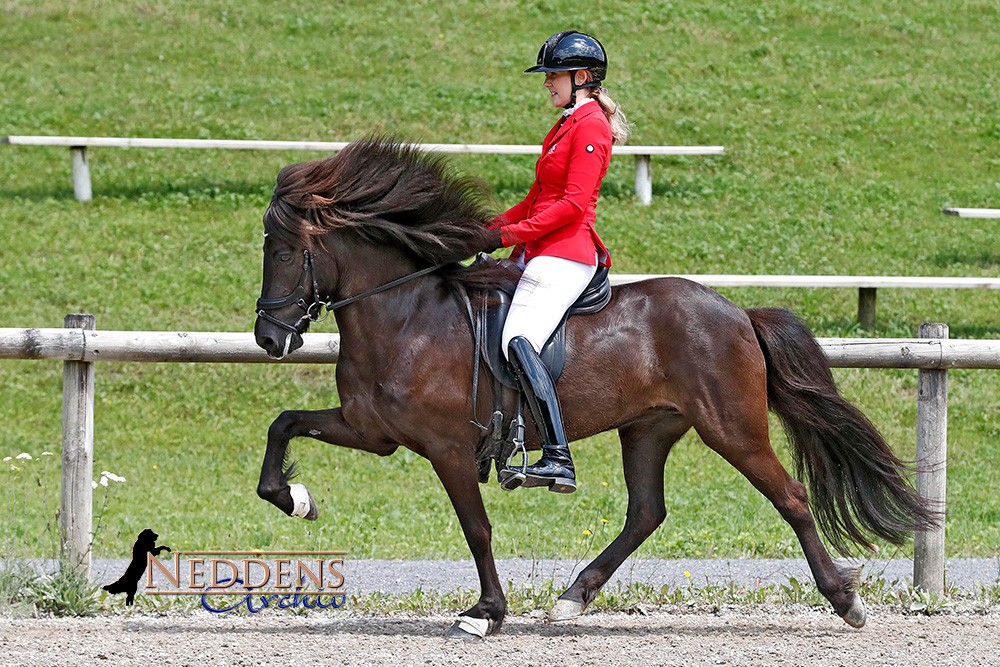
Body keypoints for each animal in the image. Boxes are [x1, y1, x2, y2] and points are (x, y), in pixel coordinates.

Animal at [250, 137, 936, 640]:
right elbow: (283, 422)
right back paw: (572, 599)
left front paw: (486, 613)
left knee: (790, 497)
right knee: (646, 512)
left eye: (283, 252)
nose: (267, 337)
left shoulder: (447, 448)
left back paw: (845, 601)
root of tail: (737, 311)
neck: (406, 315)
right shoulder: (373, 431)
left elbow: (476, 528)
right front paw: (294, 499)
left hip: (731, 428)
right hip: (649, 427)